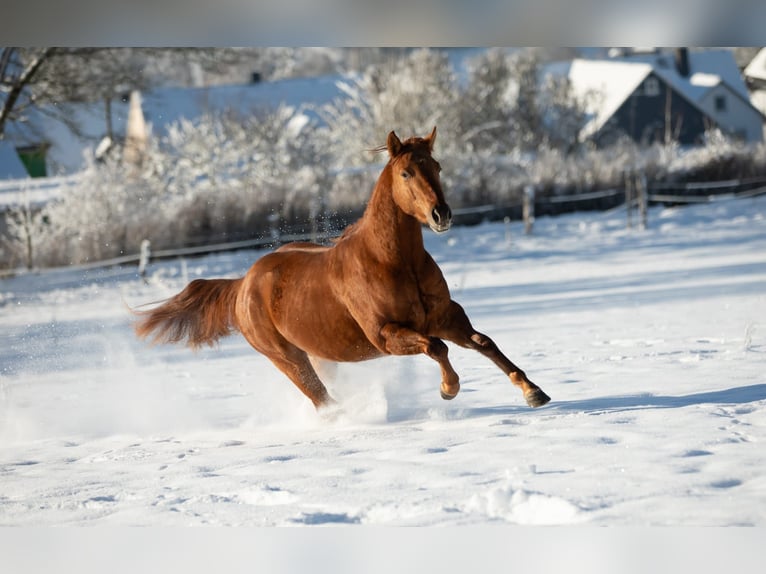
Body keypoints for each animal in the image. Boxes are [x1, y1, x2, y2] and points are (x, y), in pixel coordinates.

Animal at [133, 127, 551, 413]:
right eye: (406, 174)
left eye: (437, 166)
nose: (441, 215)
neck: (393, 262)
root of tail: (243, 284)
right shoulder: (385, 335)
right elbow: (437, 346)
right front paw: (449, 388)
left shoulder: (445, 316)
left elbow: (483, 342)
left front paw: (534, 391)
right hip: (288, 359)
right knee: (321, 399)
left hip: (318, 353)